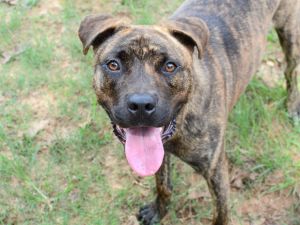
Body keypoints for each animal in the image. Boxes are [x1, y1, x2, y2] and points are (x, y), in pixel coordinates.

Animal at [78, 0, 300, 224]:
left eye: (170, 66)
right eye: (113, 65)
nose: (141, 105)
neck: (181, 121)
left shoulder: (215, 171)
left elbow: (221, 213)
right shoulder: (160, 154)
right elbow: (163, 185)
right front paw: (158, 210)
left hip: (289, 34)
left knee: (290, 71)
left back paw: (291, 107)